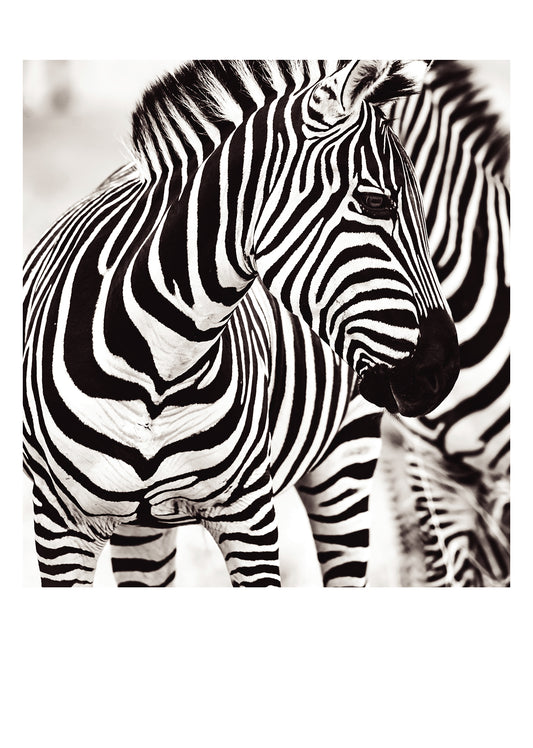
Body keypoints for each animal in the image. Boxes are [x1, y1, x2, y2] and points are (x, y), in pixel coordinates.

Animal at [23, 59, 459, 587]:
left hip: (346, 458)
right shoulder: (59, 522)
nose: (444, 370)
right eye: (377, 203)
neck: (159, 369)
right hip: (141, 529)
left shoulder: (248, 514)